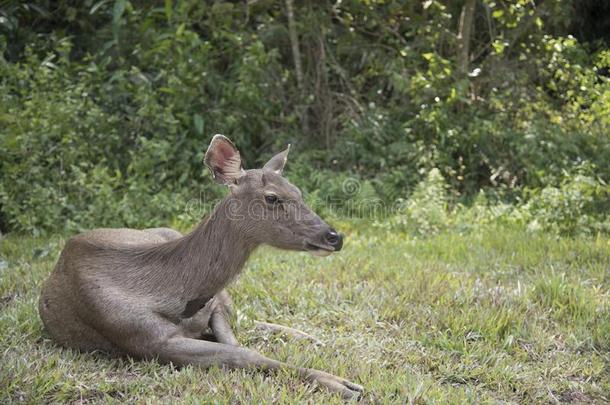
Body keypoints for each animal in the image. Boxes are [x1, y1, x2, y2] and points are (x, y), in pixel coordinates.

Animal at [40, 135, 364, 398]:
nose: (334, 237)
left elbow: (236, 339)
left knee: (247, 317)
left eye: (298, 191)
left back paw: (310, 337)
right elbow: (242, 353)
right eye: (272, 197)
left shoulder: (214, 305)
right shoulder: (142, 336)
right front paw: (342, 384)